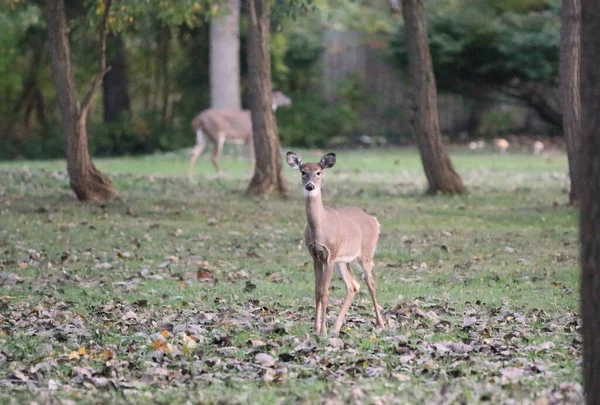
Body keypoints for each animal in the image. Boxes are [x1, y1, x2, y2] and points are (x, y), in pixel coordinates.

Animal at [286, 150, 384, 336]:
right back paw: (336, 328)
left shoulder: (330, 255)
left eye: (319, 172)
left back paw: (380, 324)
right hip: (343, 261)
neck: (320, 227)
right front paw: (316, 329)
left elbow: (325, 293)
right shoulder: (315, 257)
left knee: (371, 282)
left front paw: (322, 331)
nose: (310, 186)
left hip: (366, 253)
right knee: (353, 285)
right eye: (303, 172)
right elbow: (317, 291)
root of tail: (375, 221)